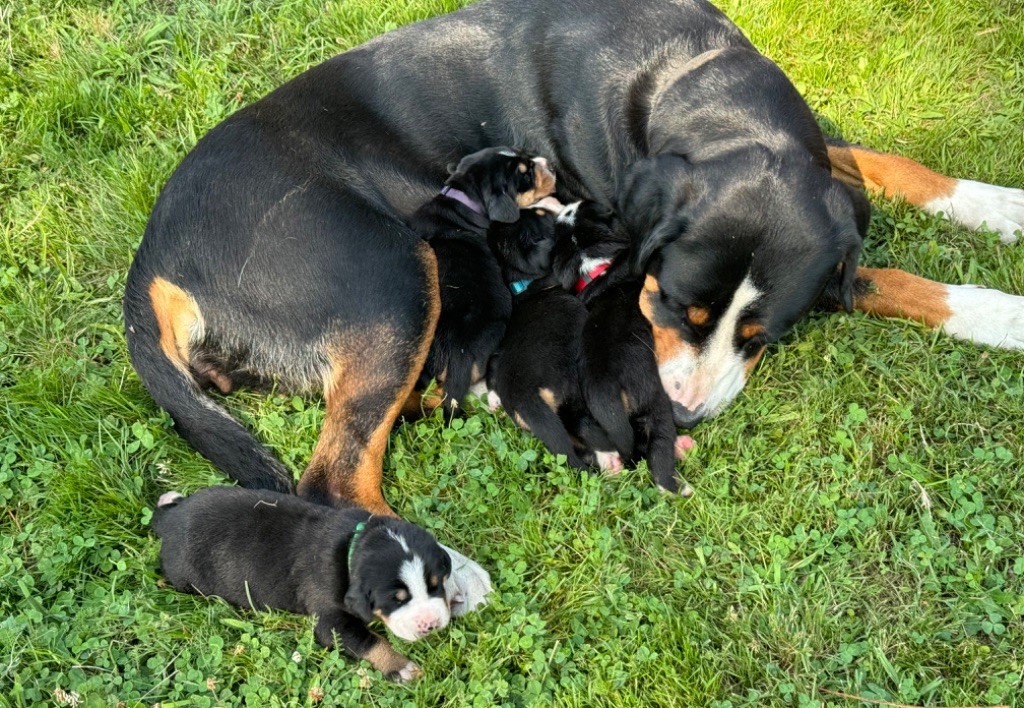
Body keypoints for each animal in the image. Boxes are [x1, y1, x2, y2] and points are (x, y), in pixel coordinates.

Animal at [152, 487, 452, 680]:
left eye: (436, 585)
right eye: (396, 600)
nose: (431, 625)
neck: (351, 547)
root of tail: (170, 524)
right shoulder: (330, 619)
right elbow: (369, 642)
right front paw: (401, 667)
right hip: (188, 578)